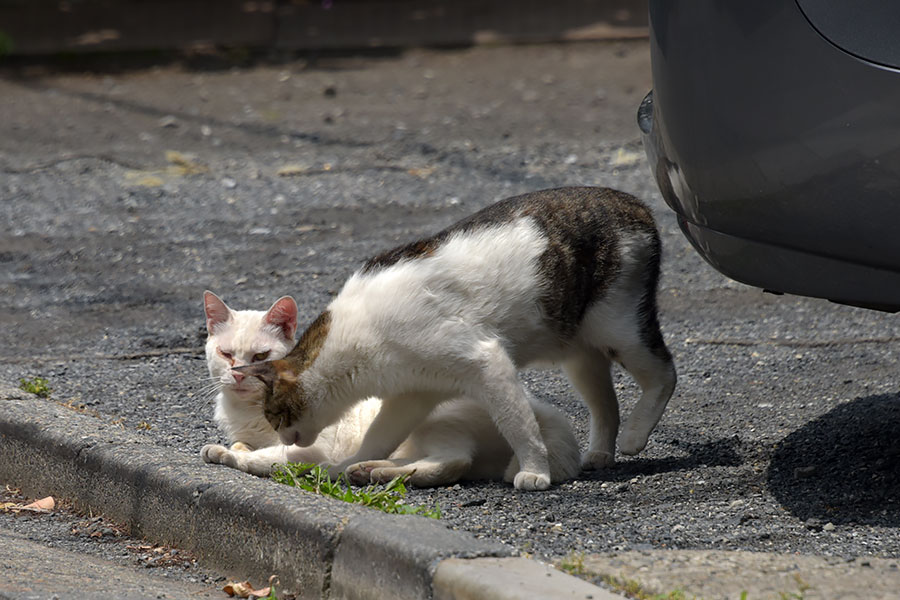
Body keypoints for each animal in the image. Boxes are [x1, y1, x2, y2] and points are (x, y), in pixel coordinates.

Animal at [198, 292, 580, 488]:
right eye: (227, 354)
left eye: (260, 356)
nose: (237, 375)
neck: (247, 413)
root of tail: (547, 413)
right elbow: (248, 444)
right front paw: (237, 446)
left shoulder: (310, 446)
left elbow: (264, 458)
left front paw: (226, 455)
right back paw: (368, 468)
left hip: (437, 417)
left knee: (453, 461)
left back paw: (374, 472)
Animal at [239, 189, 676, 492]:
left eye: (273, 415)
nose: (281, 438)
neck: (356, 348)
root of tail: (635, 203)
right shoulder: (413, 394)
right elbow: (379, 436)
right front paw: (350, 464)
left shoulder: (487, 362)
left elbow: (520, 426)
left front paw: (535, 471)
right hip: (580, 355)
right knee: (606, 405)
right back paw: (601, 453)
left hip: (620, 328)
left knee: (665, 373)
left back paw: (635, 437)